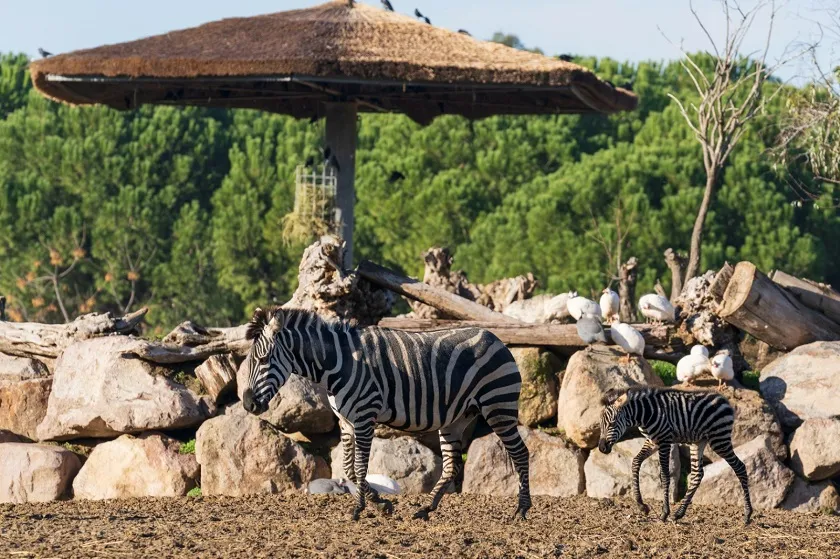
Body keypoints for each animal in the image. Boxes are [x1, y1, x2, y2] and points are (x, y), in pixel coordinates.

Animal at [243, 306, 532, 520]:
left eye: (264, 360)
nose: (247, 404)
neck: (338, 364)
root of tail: (495, 338)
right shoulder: (346, 423)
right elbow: (348, 468)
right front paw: (381, 505)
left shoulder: (364, 417)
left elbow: (360, 467)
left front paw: (359, 509)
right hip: (457, 419)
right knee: (452, 465)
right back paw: (425, 509)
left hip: (498, 406)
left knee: (520, 453)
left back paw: (521, 510)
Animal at [596, 384, 756, 524]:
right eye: (601, 425)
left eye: (612, 423)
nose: (602, 448)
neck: (647, 414)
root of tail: (725, 400)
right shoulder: (652, 441)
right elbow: (636, 462)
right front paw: (642, 506)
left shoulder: (665, 441)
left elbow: (665, 475)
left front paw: (664, 513)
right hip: (698, 441)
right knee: (697, 474)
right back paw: (679, 513)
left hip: (719, 440)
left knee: (740, 467)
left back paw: (747, 514)